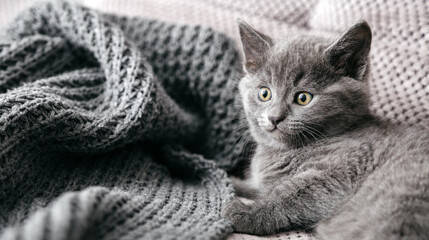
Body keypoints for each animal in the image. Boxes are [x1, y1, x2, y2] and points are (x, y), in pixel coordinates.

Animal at [222, 19, 428, 239]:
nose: (274, 118)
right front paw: (231, 181)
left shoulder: (345, 169)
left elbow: (289, 193)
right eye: (264, 93)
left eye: (303, 98)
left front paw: (244, 212)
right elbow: (257, 187)